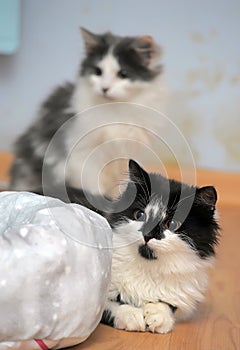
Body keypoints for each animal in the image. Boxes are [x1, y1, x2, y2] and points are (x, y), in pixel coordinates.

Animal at [10, 26, 166, 197]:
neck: (115, 111)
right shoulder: (84, 156)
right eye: (98, 71)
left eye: (123, 74)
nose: (104, 88)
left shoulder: (126, 155)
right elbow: (92, 186)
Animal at [41, 160, 219, 332]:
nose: (147, 234)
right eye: (140, 215)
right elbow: (108, 305)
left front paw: (158, 317)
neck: (146, 268)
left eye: (172, 224)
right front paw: (132, 316)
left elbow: (168, 305)